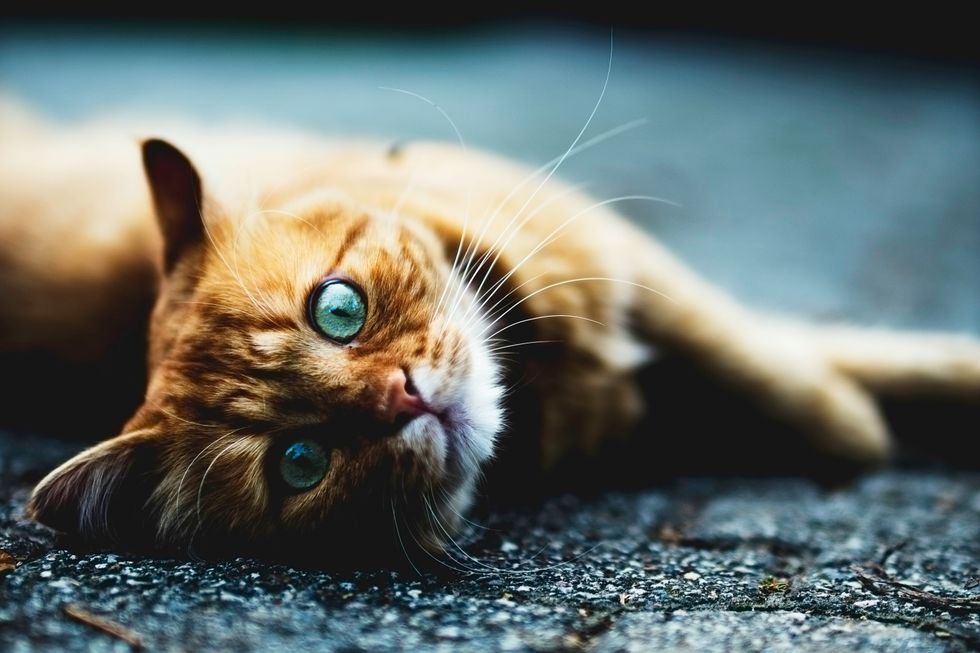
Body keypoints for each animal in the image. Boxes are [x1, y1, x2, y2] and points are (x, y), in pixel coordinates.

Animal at [1, 102, 980, 564]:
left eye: (339, 307)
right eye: (300, 461)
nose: (404, 398)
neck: (550, 381)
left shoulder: (627, 263)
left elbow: (771, 357)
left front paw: (852, 422)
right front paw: (862, 425)